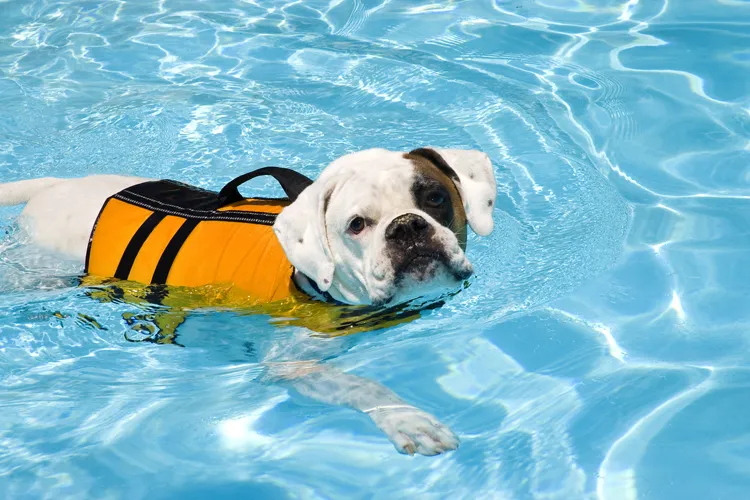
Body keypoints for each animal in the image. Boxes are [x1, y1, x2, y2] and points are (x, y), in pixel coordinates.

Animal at [0, 146, 500, 456]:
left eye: (435, 198)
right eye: (357, 225)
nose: (407, 227)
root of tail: (53, 187)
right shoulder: (294, 364)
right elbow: (361, 386)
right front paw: (409, 421)